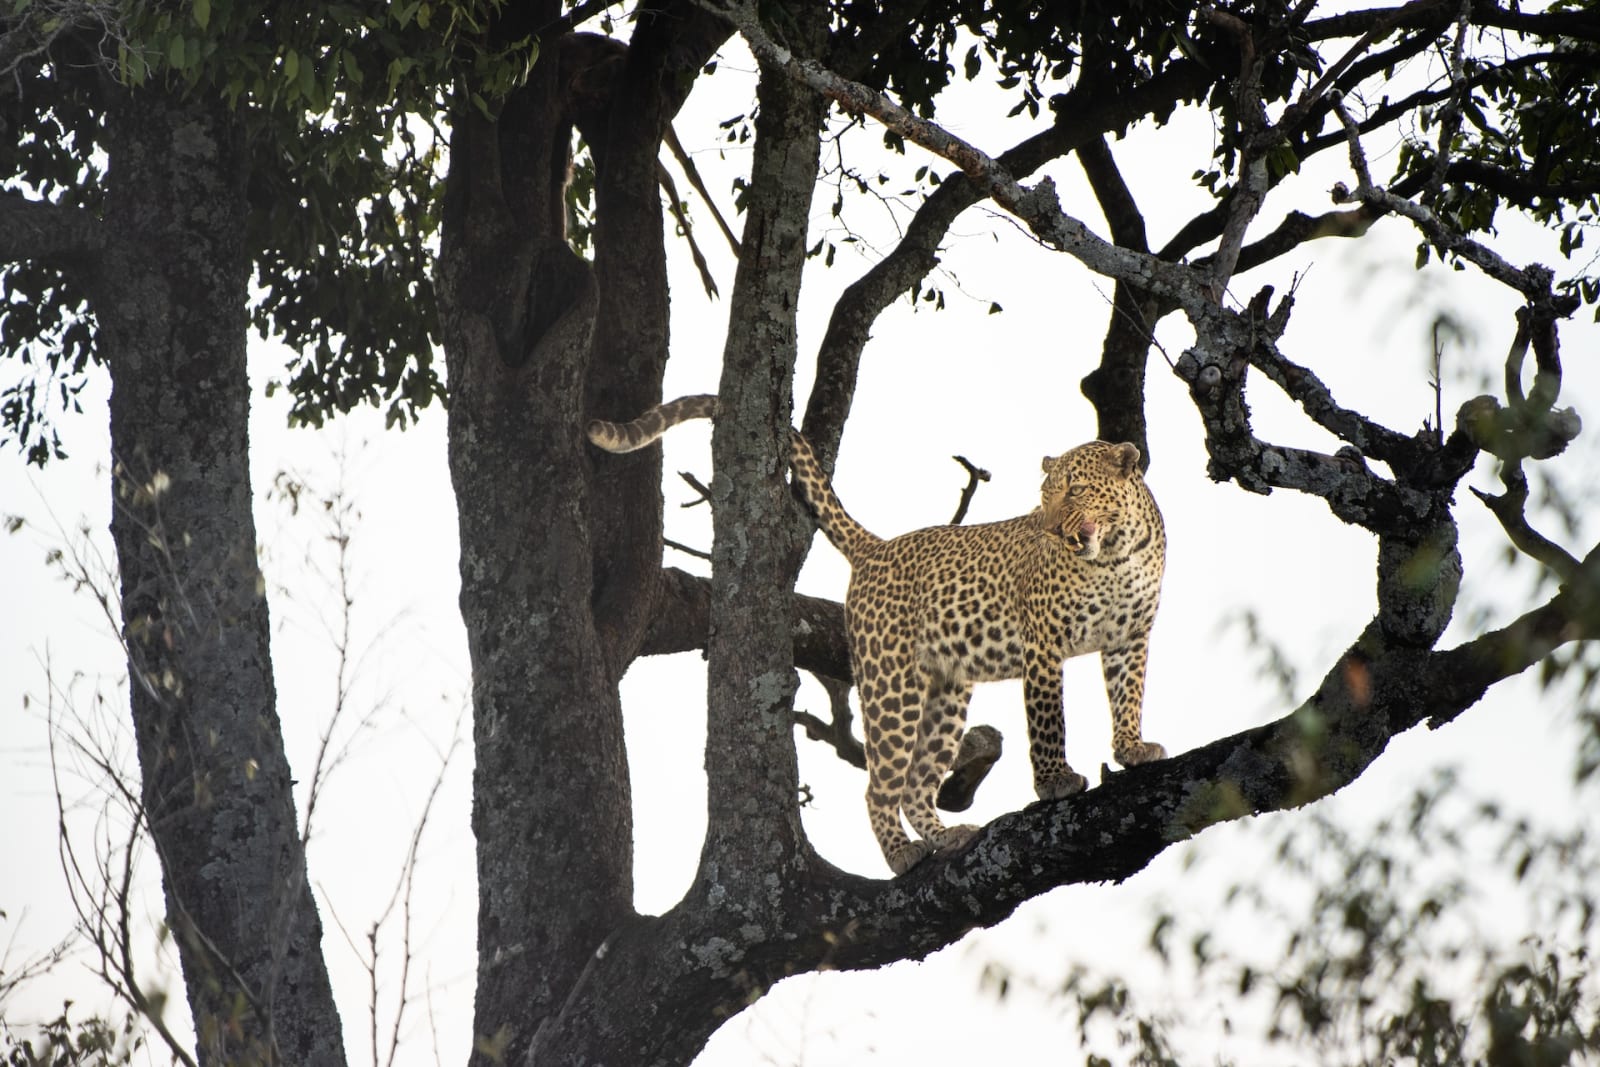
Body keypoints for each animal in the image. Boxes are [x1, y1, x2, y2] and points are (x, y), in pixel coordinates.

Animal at [587, 394, 1167, 875]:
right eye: (1044, 495)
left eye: (1076, 489)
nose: (1045, 527)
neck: (1115, 554)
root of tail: (878, 547)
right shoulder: (1043, 642)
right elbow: (1048, 721)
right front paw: (1054, 783)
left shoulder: (1131, 637)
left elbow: (1128, 695)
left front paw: (1132, 748)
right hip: (892, 686)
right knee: (880, 788)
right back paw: (902, 854)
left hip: (945, 691)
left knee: (915, 785)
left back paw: (944, 836)